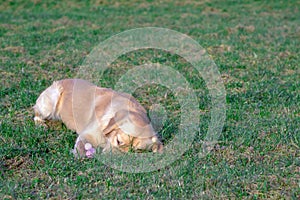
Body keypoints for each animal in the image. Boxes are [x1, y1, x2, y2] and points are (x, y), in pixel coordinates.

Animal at [33, 79, 163, 157]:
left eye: (135, 151)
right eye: (118, 141)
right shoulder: (88, 134)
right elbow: (81, 145)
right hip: (50, 102)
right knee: (36, 115)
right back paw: (41, 124)